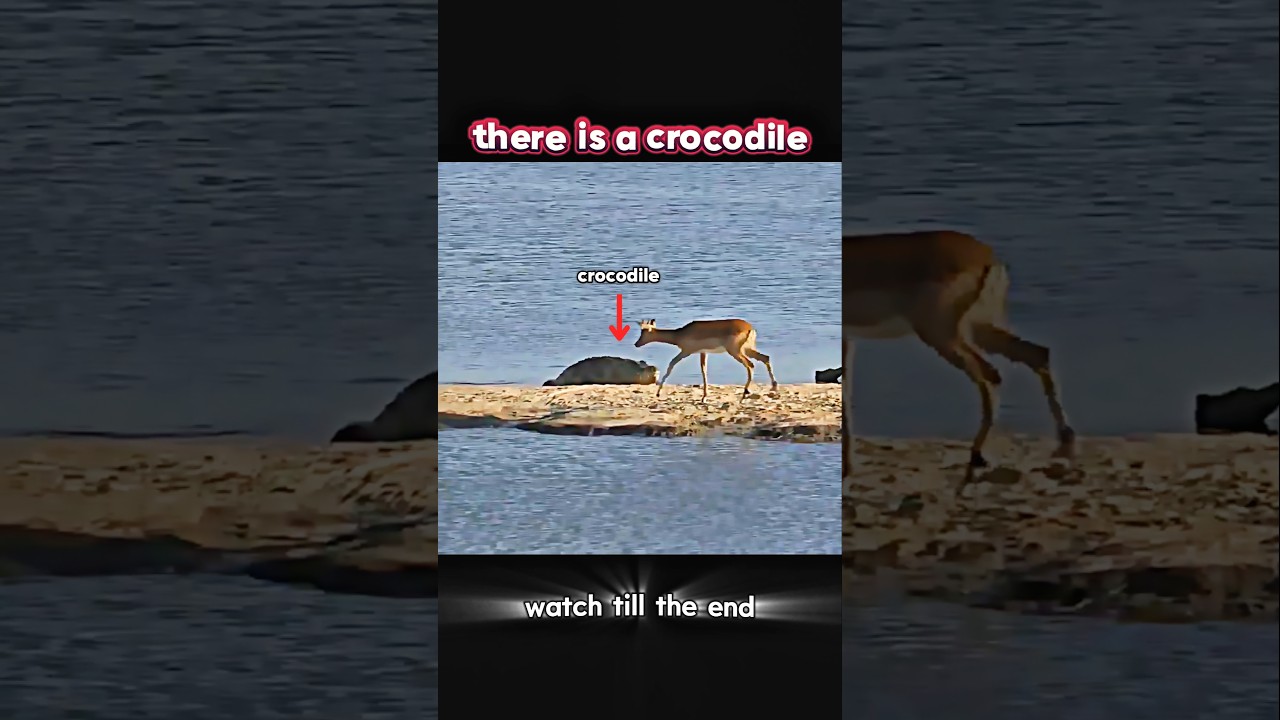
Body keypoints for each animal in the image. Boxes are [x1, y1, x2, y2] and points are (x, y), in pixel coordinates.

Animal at [634, 318, 779, 401]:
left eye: (644, 331)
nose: (636, 344)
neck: (679, 334)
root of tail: (749, 328)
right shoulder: (703, 352)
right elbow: (703, 370)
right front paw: (704, 396)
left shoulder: (686, 352)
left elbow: (671, 365)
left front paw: (658, 393)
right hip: (747, 349)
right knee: (765, 358)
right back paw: (774, 387)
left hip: (736, 352)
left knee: (750, 365)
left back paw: (745, 393)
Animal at [843, 230, 1075, 492]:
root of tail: (987, 257)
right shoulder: (847, 339)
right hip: (981, 330)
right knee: (1037, 354)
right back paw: (1065, 438)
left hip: (943, 336)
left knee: (991, 375)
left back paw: (976, 459)